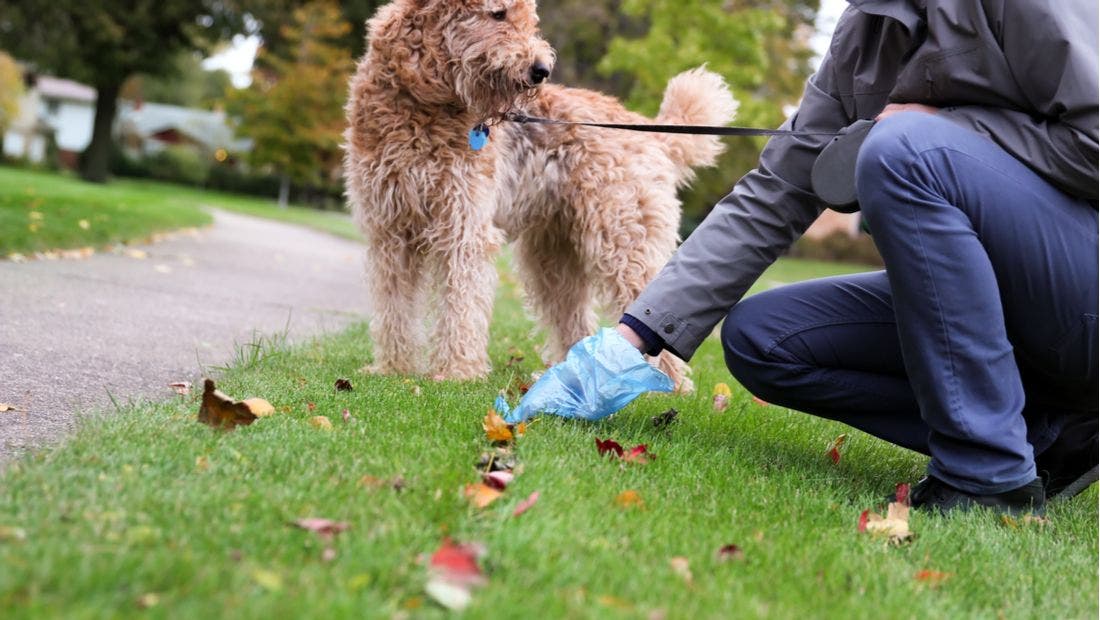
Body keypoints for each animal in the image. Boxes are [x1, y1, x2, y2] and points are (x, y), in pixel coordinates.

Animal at [343, 0, 739, 391]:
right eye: (498, 13)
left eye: (529, 20)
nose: (541, 70)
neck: (421, 101)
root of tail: (653, 133)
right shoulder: (390, 230)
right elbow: (394, 306)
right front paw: (393, 368)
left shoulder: (464, 227)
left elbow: (461, 305)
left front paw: (456, 371)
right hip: (553, 256)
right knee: (575, 319)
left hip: (623, 238)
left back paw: (665, 385)